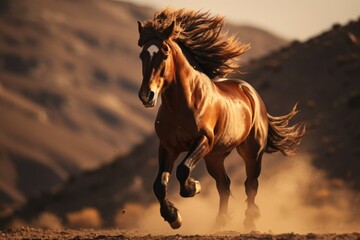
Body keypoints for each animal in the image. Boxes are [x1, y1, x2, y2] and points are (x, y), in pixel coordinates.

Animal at [136, 8, 306, 231]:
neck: (183, 104)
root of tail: (252, 93)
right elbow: (159, 184)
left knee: (250, 184)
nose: (146, 96)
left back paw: (249, 221)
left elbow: (183, 170)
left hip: (251, 152)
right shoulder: (167, 147)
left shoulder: (204, 140)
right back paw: (219, 223)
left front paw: (194, 187)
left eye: (164, 54)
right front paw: (173, 217)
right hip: (215, 157)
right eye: (142, 55)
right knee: (224, 185)